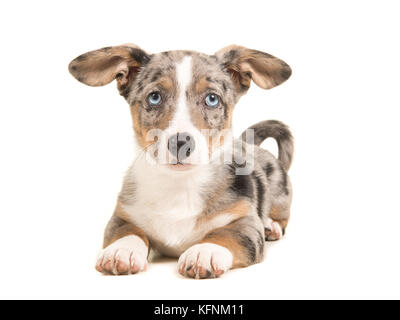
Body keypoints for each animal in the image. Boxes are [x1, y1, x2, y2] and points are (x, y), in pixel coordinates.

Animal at [69, 43, 294, 278]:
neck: (179, 185)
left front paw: (205, 251)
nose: (181, 143)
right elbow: (127, 231)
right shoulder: (122, 216)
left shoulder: (245, 223)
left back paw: (271, 225)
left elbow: (226, 235)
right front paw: (122, 250)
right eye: (155, 97)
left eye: (212, 99)